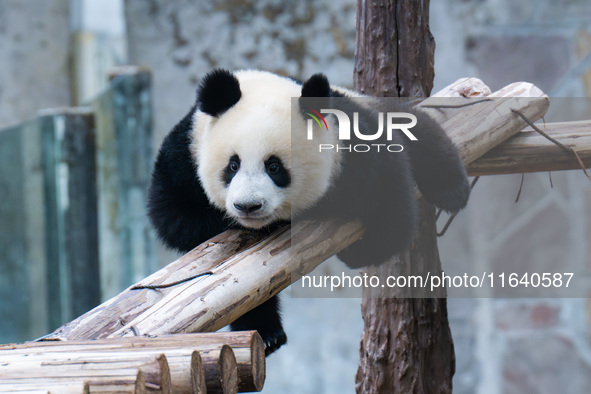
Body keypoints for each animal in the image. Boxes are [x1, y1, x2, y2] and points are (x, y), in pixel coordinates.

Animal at [146, 69, 470, 356]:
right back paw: (268, 335)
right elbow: (173, 218)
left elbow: (391, 204)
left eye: (274, 167)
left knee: (423, 134)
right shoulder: (185, 153)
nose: (248, 206)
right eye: (232, 165)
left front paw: (356, 252)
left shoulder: (352, 145)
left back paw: (452, 190)